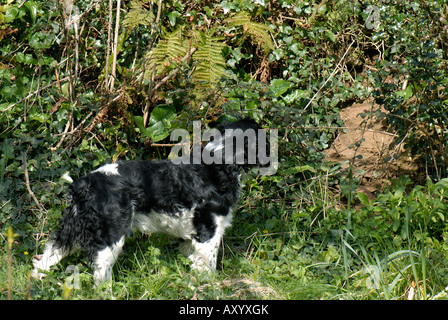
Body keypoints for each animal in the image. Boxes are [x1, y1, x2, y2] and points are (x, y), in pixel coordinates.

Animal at [33, 119, 272, 284]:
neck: (219, 164)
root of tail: (85, 182)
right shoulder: (208, 231)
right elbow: (206, 267)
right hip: (110, 236)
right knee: (101, 276)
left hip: (71, 230)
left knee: (45, 258)